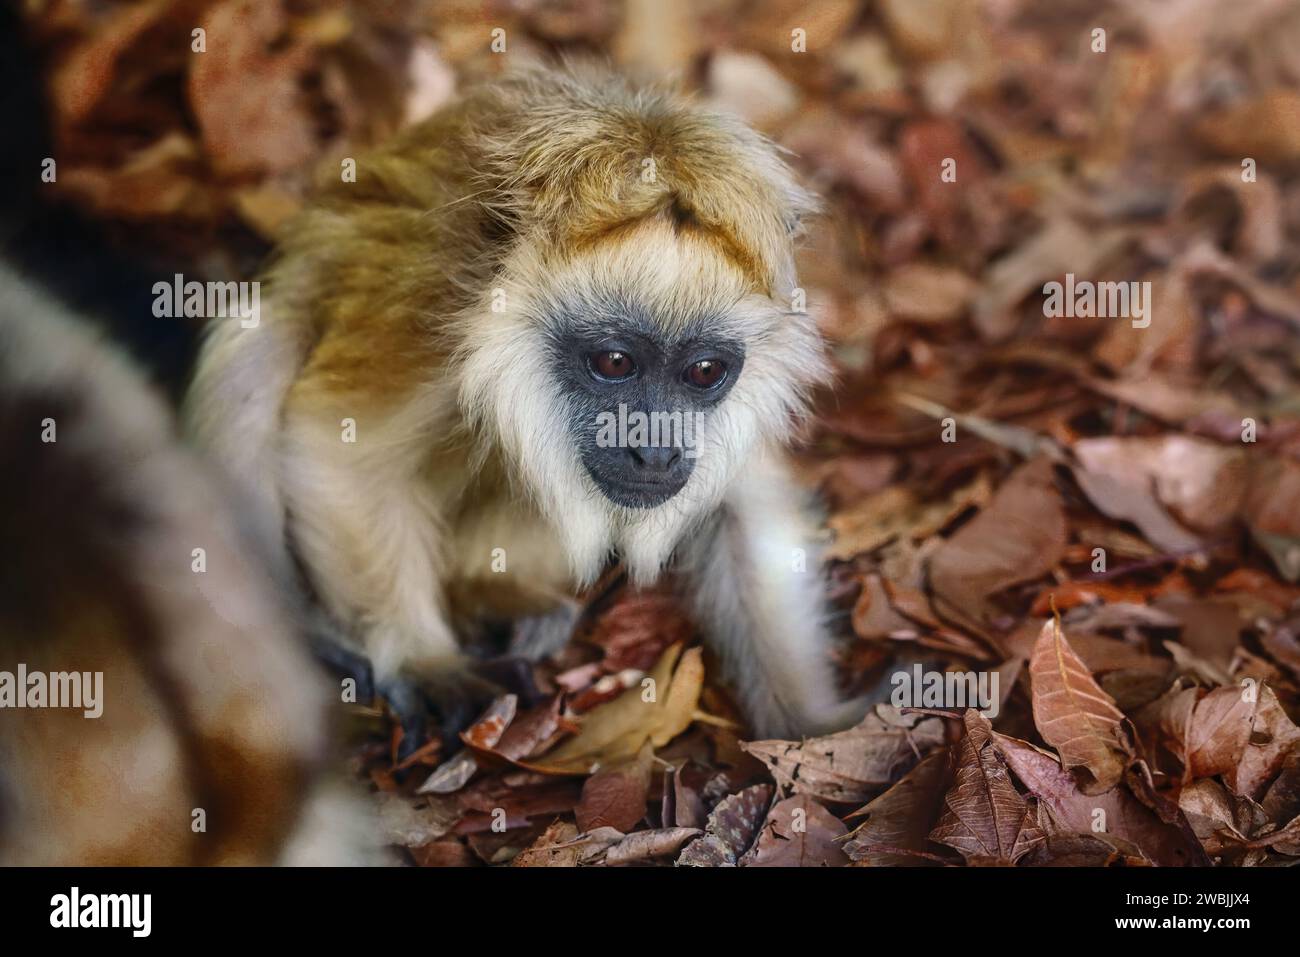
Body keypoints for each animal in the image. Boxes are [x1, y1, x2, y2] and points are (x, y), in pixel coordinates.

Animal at [185, 65, 863, 738]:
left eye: (703, 372)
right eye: (614, 364)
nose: (654, 451)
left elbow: (744, 505)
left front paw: (813, 725)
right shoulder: (429, 324)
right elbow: (334, 449)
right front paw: (423, 660)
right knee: (256, 342)